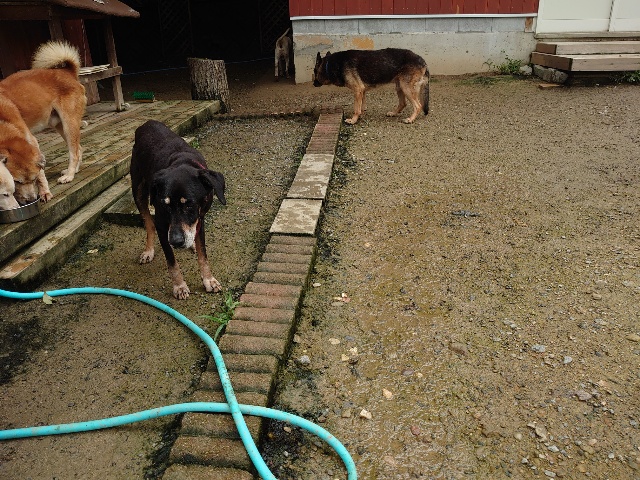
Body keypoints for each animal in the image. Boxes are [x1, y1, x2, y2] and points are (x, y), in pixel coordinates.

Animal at [0, 40, 86, 204]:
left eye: (33, 179)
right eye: (16, 182)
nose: (30, 200)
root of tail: (67, 72)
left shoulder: (31, 140)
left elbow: (40, 173)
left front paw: (45, 192)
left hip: (69, 124)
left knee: (74, 152)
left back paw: (69, 175)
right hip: (59, 125)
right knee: (79, 148)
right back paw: (74, 170)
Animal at [130, 120, 226, 300]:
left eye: (189, 205)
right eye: (165, 205)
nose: (176, 241)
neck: (182, 162)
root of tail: (146, 124)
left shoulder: (200, 218)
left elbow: (203, 254)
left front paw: (208, 280)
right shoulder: (163, 226)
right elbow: (172, 261)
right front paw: (179, 286)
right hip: (138, 190)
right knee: (148, 223)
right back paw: (149, 250)